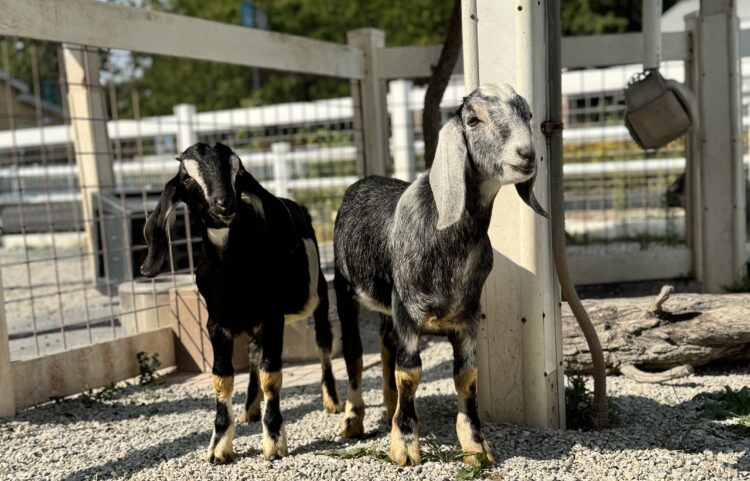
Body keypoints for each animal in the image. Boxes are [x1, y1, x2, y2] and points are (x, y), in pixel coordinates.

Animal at [141, 142, 340, 462]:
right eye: (187, 178)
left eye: (239, 171)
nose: (224, 204)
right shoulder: (217, 324)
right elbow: (222, 379)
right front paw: (219, 447)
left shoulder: (272, 319)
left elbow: (272, 376)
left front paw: (274, 443)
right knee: (253, 354)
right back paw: (250, 408)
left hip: (318, 298)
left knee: (323, 344)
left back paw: (331, 400)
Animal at [332, 83, 548, 464]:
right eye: (473, 119)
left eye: (528, 114)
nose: (526, 154)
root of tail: (361, 181)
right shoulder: (408, 311)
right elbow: (410, 373)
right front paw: (404, 446)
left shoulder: (467, 317)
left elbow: (467, 375)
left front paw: (476, 446)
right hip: (345, 289)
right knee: (354, 353)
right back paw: (353, 421)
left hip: (389, 304)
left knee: (385, 342)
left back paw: (388, 407)